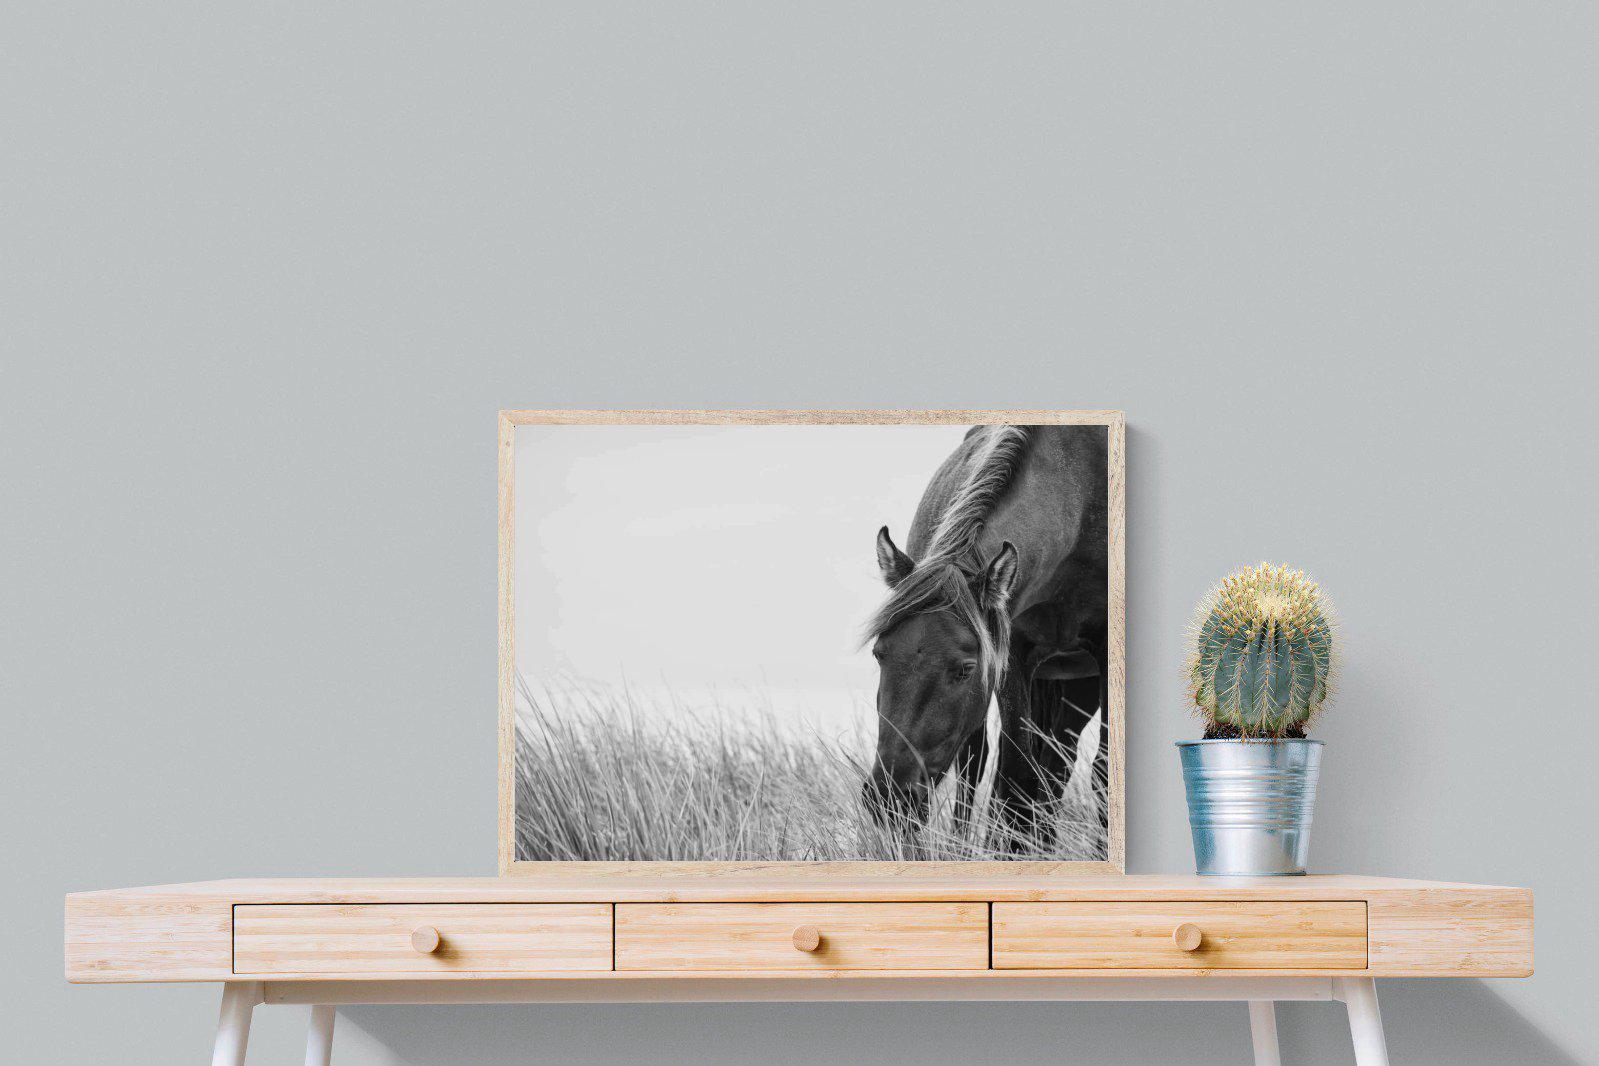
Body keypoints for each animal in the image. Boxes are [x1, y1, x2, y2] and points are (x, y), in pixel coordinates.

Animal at [860, 424, 1108, 851]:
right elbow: (1015, 778)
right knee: (985, 766)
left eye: (965, 668)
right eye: (880, 654)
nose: (890, 797)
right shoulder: (1014, 659)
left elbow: (1101, 775)